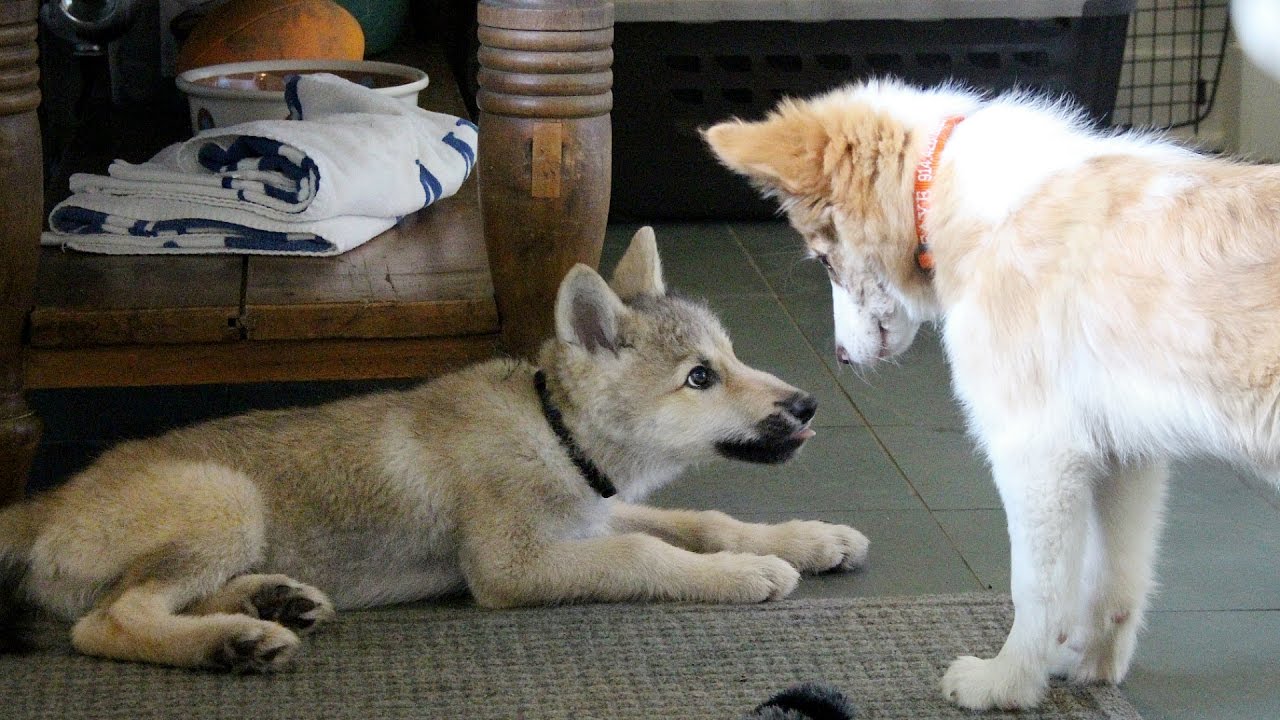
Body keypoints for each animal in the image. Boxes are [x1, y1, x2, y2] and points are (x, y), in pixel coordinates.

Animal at [0, 226, 870, 671]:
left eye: (731, 356)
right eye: (698, 377)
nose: (807, 404)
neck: (552, 433)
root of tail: (46, 503)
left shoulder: (596, 515)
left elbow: (701, 521)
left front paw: (806, 539)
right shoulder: (516, 566)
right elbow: (651, 557)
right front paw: (748, 572)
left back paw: (265, 605)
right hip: (227, 500)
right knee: (106, 622)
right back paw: (233, 641)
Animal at [706, 79, 1280, 707]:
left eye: (825, 260)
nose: (840, 358)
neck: (957, 198)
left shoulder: (1038, 452)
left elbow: (1035, 587)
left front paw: (1007, 682)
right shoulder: (1126, 455)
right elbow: (1113, 579)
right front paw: (1088, 668)